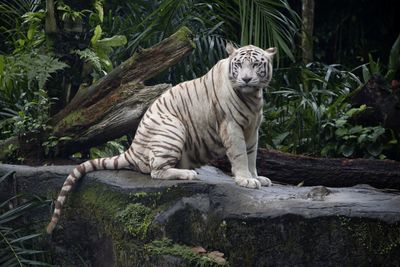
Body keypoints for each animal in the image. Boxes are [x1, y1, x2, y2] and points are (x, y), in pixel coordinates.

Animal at [46, 44, 276, 234]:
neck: (252, 97)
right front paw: (246, 179)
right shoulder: (231, 125)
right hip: (173, 129)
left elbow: (252, 155)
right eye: (239, 65)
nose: (246, 79)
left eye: (256, 64)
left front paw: (258, 177)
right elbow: (240, 154)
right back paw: (188, 174)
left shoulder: (253, 129)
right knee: (156, 172)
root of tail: (133, 148)